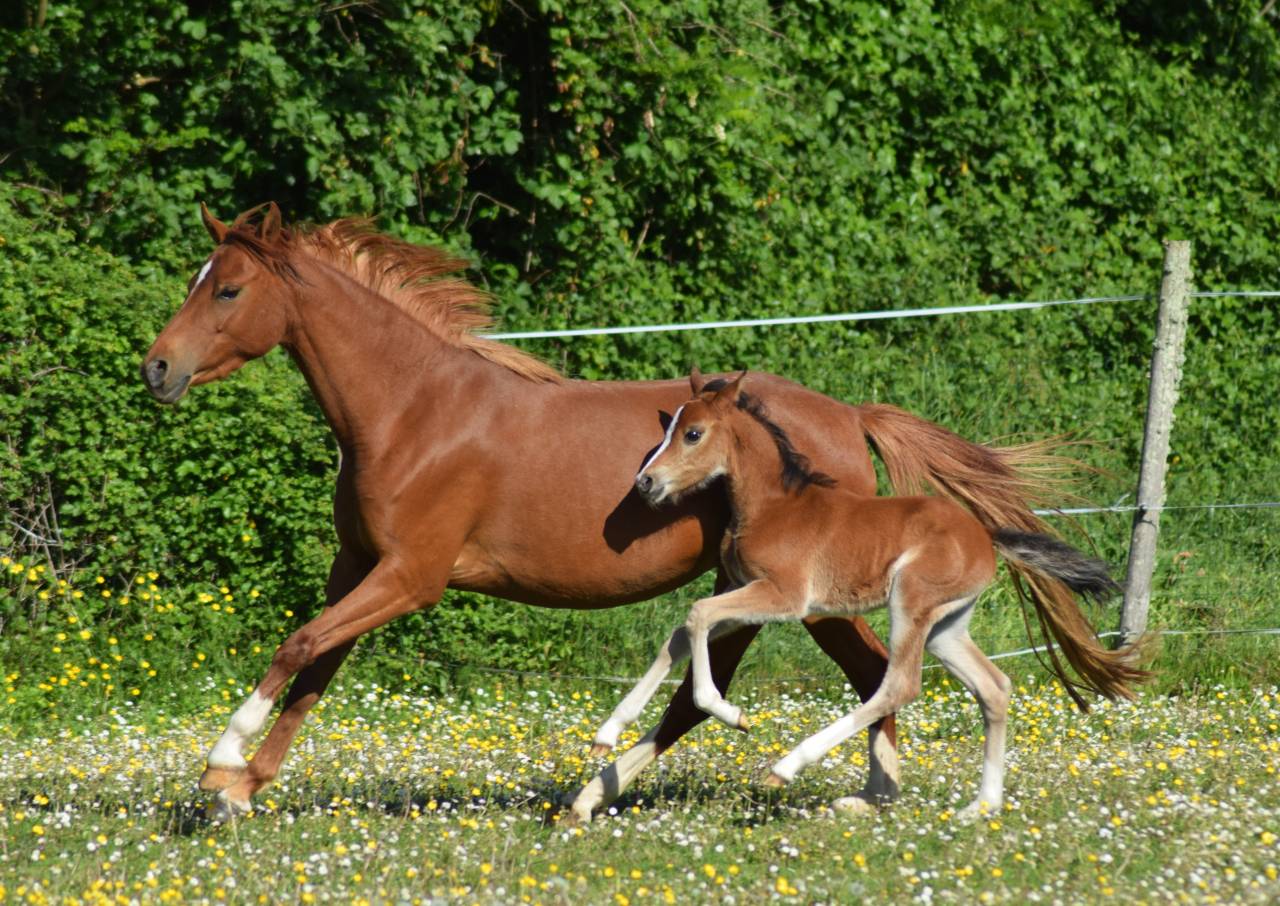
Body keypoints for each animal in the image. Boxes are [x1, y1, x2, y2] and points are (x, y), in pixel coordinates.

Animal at [142, 202, 1077, 823]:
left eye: (227, 290)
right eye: (199, 282)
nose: (155, 369)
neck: (412, 412)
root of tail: (849, 415)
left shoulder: (411, 577)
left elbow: (299, 646)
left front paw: (220, 766)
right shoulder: (360, 566)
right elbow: (315, 668)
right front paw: (241, 790)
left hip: (806, 596)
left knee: (860, 672)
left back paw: (848, 790)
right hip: (766, 590)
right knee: (763, 685)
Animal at [617, 369, 1147, 817]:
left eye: (692, 433)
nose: (645, 482)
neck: (774, 506)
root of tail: (986, 535)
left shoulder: (784, 597)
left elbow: (697, 614)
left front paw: (730, 713)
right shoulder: (751, 594)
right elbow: (682, 632)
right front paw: (610, 731)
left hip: (909, 603)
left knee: (899, 684)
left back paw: (787, 767)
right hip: (946, 626)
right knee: (993, 687)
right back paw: (981, 806)